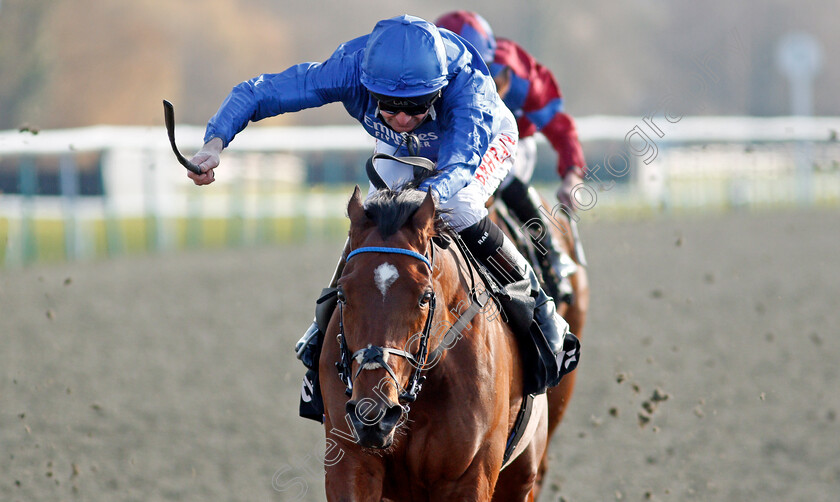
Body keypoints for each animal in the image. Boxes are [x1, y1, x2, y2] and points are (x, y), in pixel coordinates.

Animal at [318, 186, 548, 500]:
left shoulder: (470, 475)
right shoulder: (350, 461)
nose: (374, 415)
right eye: (342, 294)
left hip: (522, 475)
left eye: (425, 297)